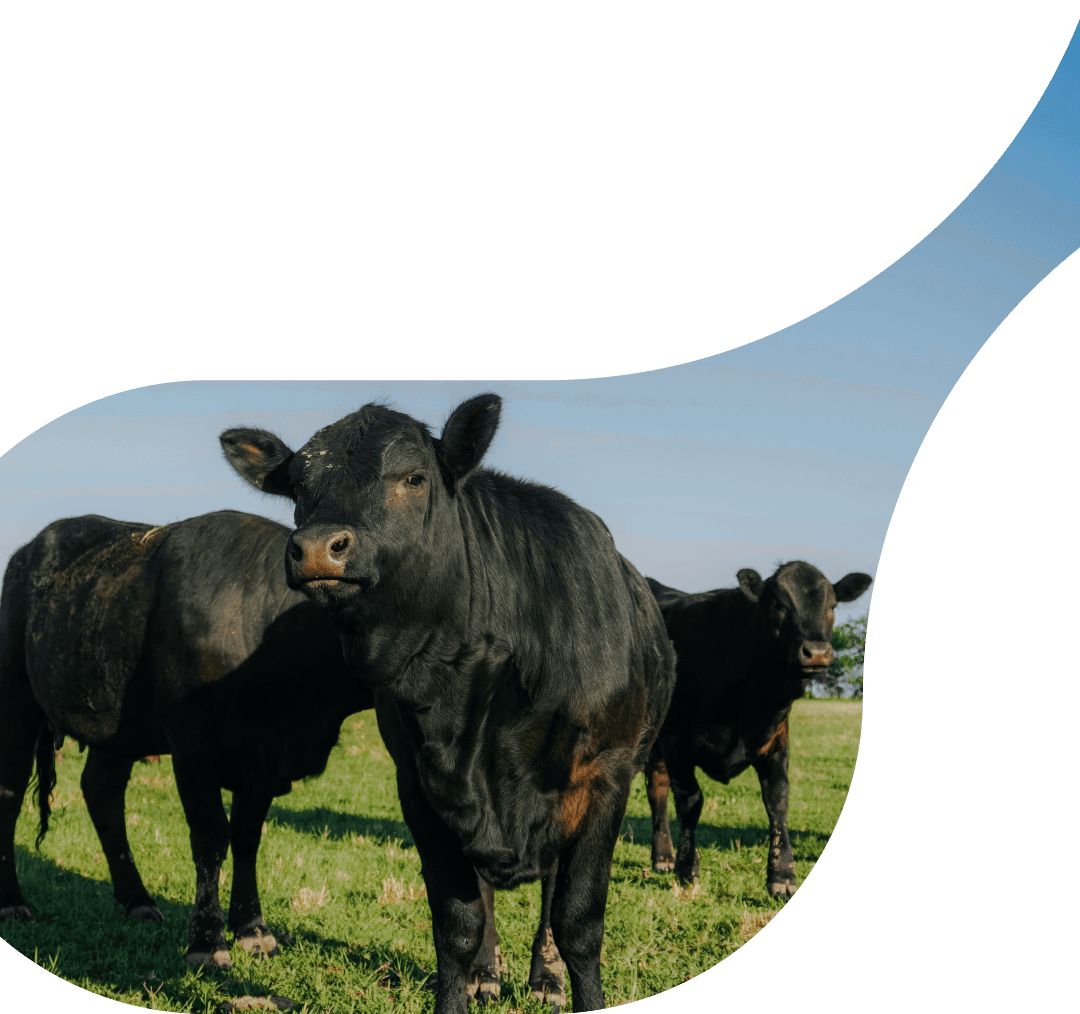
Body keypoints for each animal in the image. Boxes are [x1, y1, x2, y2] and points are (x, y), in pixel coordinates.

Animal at [0, 510, 373, 967]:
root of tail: (26, 552)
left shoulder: (261, 760)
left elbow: (246, 837)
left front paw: (252, 928)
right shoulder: (193, 744)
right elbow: (211, 836)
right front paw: (208, 942)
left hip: (117, 726)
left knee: (102, 792)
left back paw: (137, 900)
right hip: (16, 698)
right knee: (10, 791)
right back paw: (12, 901)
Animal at [220, 394, 676, 1013]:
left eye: (413, 477)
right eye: (297, 487)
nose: (316, 548)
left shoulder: (606, 775)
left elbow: (579, 922)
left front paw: (565, 978)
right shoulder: (420, 784)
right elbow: (456, 923)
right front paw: (469, 975)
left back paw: (546, 975)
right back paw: (488, 973)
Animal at [644, 562, 871, 898]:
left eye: (832, 606)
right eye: (777, 604)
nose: (817, 652)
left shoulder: (776, 739)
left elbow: (777, 800)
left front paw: (782, 876)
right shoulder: (675, 740)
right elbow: (690, 801)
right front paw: (687, 869)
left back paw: (663, 857)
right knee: (657, 790)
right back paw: (664, 858)